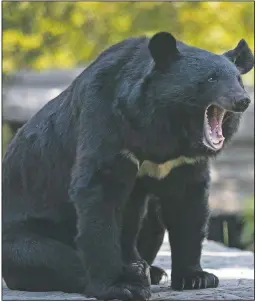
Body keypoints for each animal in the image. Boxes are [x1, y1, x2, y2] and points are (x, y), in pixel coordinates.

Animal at [3, 31, 254, 300]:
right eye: (211, 78)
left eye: (238, 79)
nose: (242, 100)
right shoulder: (106, 122)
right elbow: (100, 192)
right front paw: (118, 286)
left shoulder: (183, 163)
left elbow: (188, 205)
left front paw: (197, 278)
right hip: (22, 233)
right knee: (48, 257)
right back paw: (134, 275)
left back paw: (151, 270)